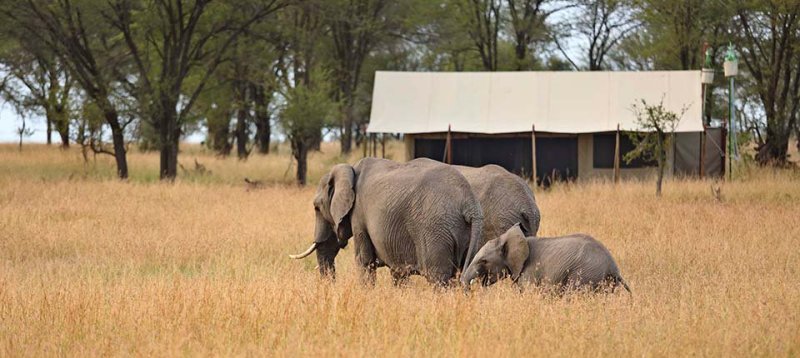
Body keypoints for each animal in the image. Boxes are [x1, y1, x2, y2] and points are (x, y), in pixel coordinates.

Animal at [290, 158, 484, 286]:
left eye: (316, 208)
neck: (350, 169)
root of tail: (469, 203)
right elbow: (398, 271)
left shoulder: (359, 214)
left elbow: (364, 261)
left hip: (434, 230)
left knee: (438, 277)